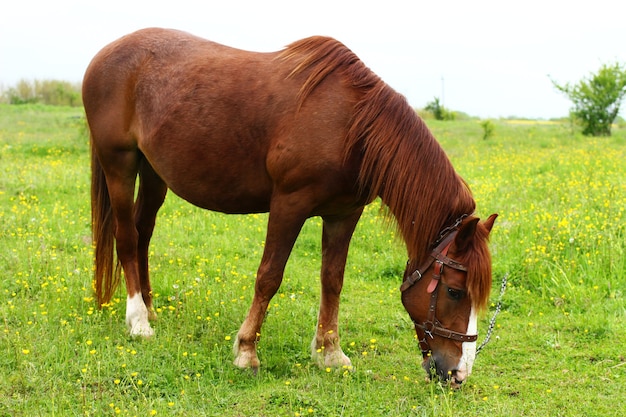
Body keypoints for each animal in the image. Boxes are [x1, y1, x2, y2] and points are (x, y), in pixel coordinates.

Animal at [83, 27, 494, 386]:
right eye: (455, 292)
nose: (458, 374)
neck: (352, 127)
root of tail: (104, 55)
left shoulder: (344, 214)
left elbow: (332, 279)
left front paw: (329, 352)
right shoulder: (288, 205)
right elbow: (269, 276)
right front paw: (246, 351)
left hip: (154, 172)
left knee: (143, 233)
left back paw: (150, 309)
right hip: (119, 164)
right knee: (126, 236)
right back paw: (138, 321)